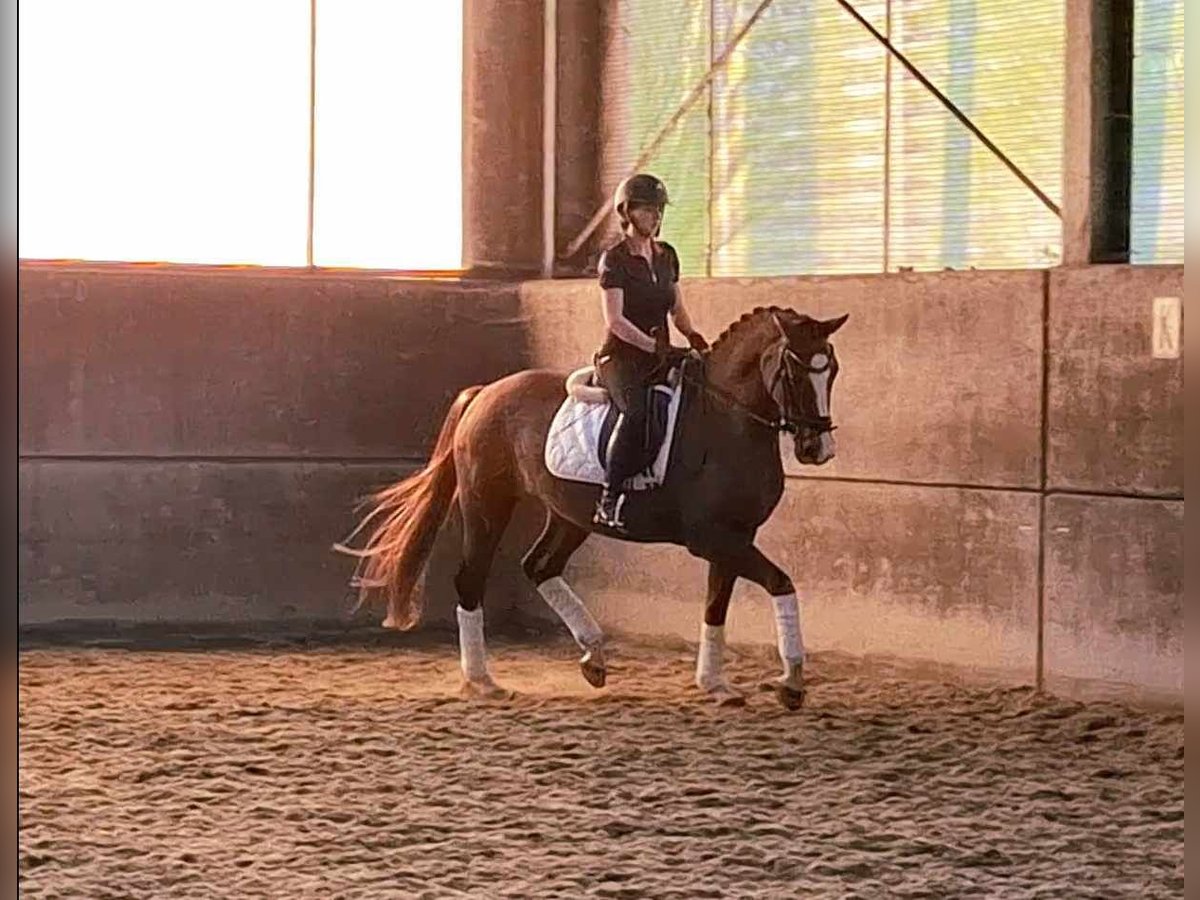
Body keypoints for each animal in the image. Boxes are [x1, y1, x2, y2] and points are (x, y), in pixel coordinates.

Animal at [333, 307, 849, 710]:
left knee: (539, 566)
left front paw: (715, 684)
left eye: (833, 370)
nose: (817, 449)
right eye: (795, 370)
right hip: (488, 504)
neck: (729, 421)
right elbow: (782, 584)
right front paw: (791, 682)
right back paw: (482, 681)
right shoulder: (713, 538)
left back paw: (594, 657)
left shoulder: (735, 537)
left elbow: (715, 606)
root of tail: (485, 393)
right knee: (471, 579)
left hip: (568, 515)